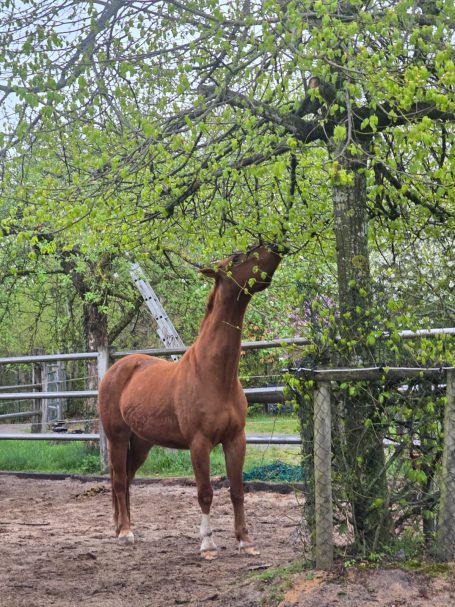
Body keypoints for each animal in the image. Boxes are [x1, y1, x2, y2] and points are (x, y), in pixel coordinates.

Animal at [98, 244, 282, 559]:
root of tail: (115, 370)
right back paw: (125, 533)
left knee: (126, 482)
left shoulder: (236, 440)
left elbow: (237, 491)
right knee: (120, 481)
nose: (276, 246)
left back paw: (124, 527)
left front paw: (245, 540)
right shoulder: (199, 443)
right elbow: (205, 492)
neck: (214, 374)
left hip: (142, 443)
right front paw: (207, 543)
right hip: (117, 438)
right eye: (237, 258)